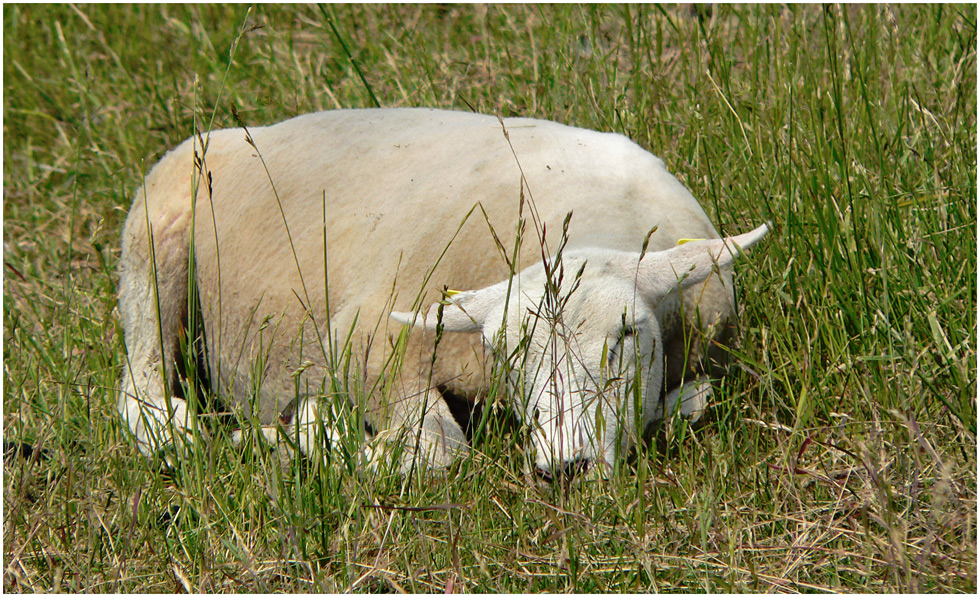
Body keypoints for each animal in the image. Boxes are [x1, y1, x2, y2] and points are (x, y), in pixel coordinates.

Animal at [118, 107, 768, 478]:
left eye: (627, 336)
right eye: (506, 354)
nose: (565, 468)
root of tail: (251, 132)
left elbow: (699, 398)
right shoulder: (362, 338)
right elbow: (442, 450)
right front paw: (309, 435)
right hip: (152, 240)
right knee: (138, 383)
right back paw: (180, 430)